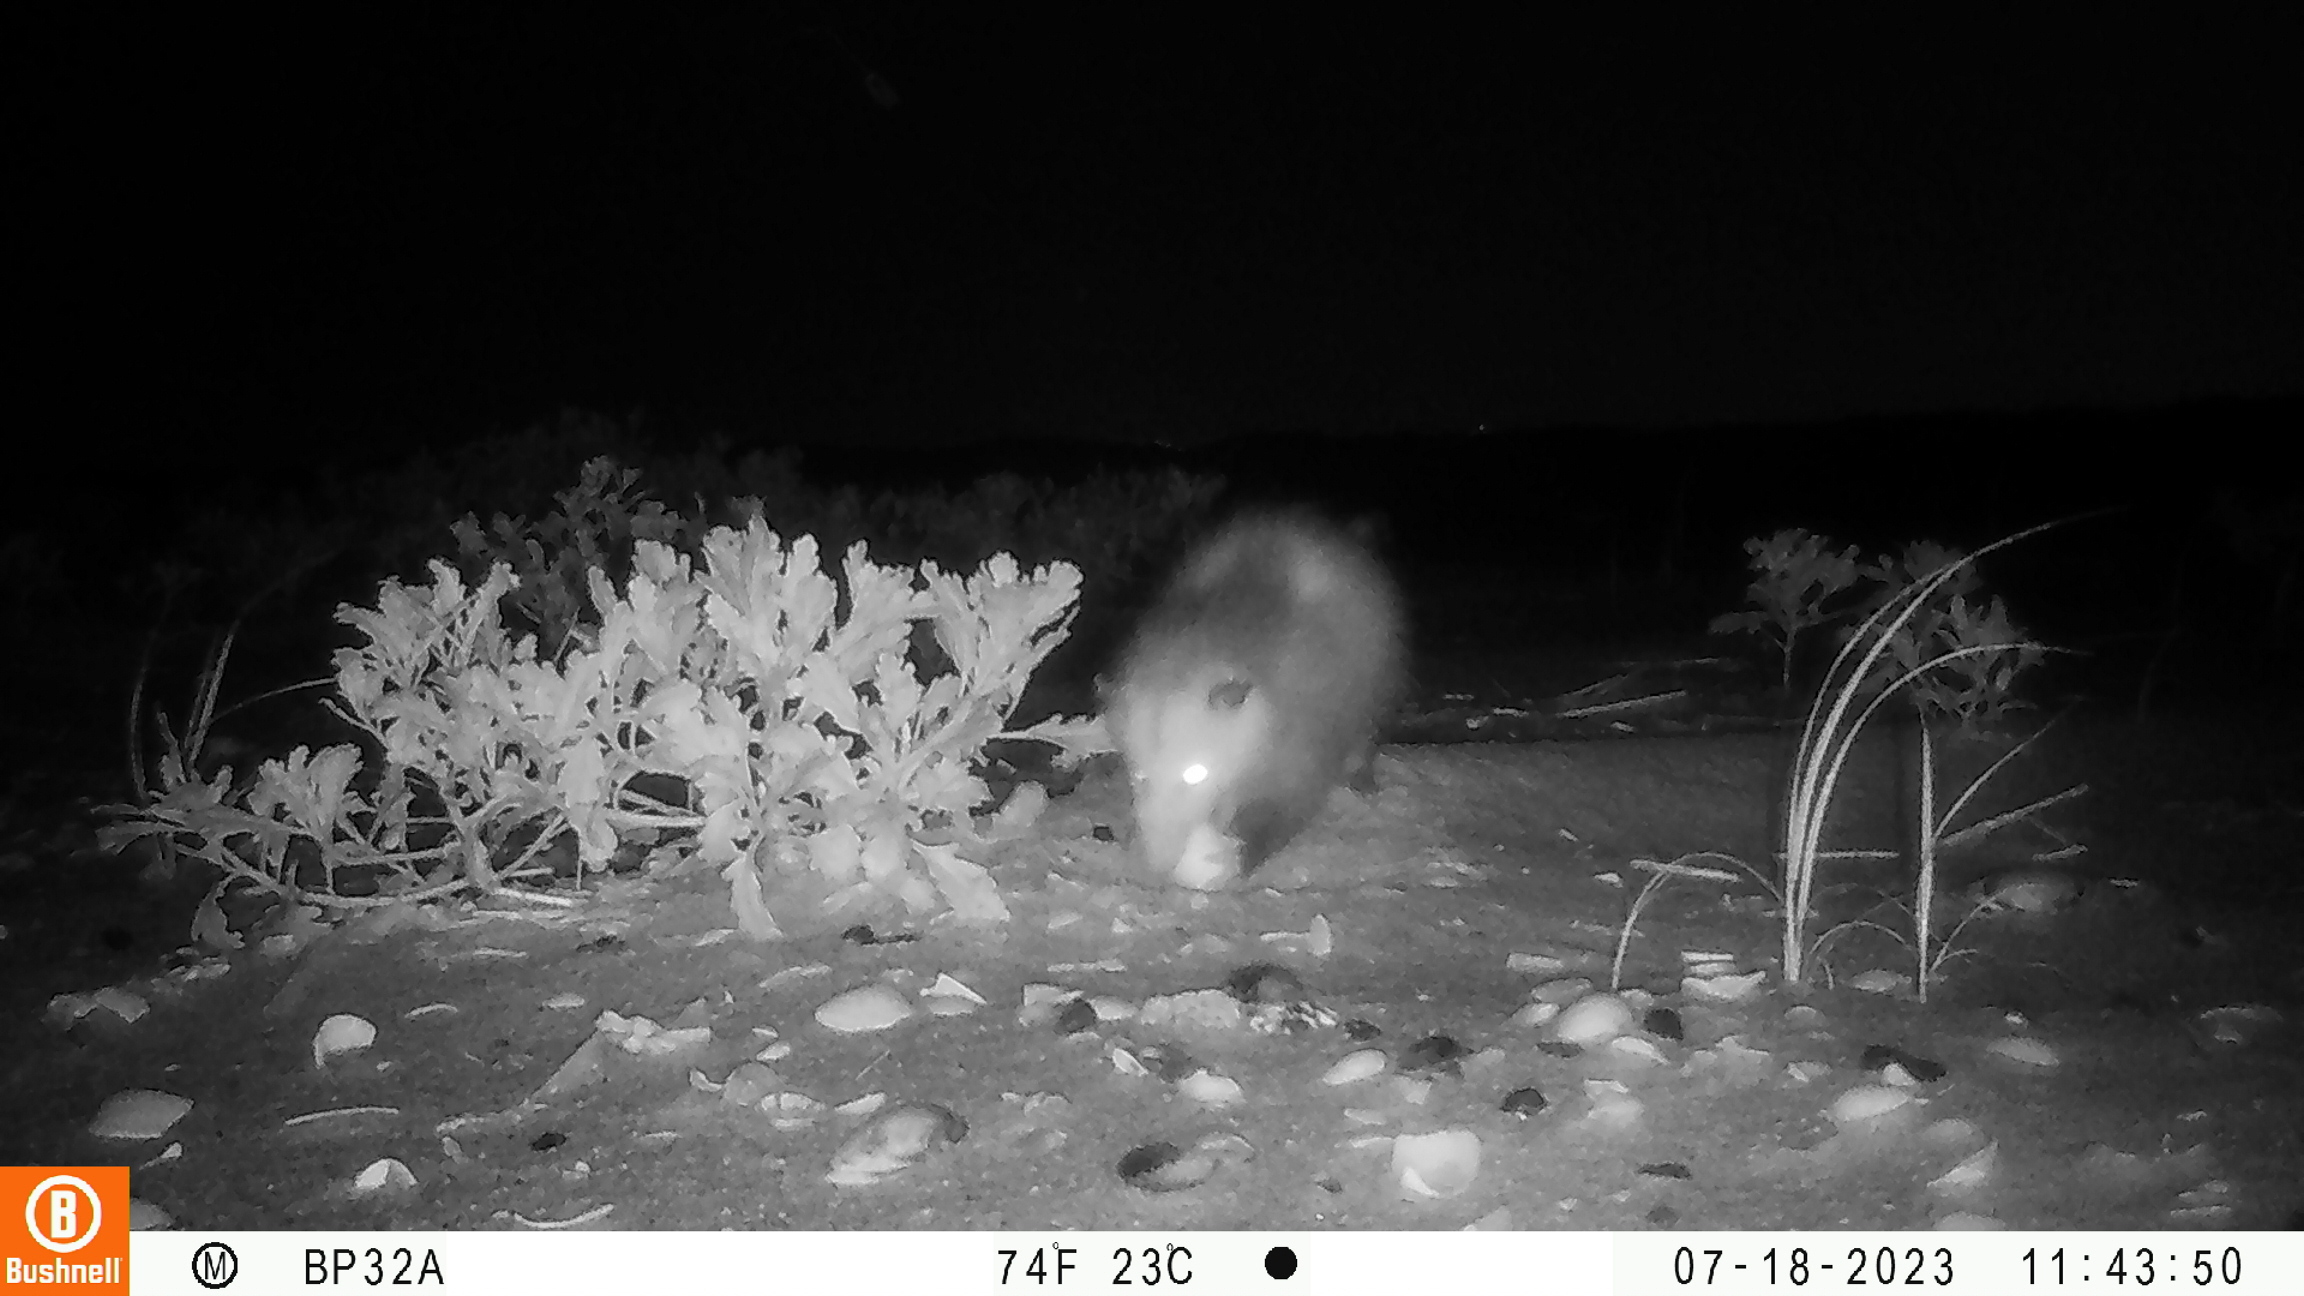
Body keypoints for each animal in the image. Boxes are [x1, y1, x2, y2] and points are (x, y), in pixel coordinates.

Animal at [1105, 510, 1406, 888]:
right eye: (1140, 777)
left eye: (1195, 774)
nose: (1159, 866)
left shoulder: (1304, 739)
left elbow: (1291, 802)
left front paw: (1238, 856)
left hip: (1373, 687)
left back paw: (1362, 780)